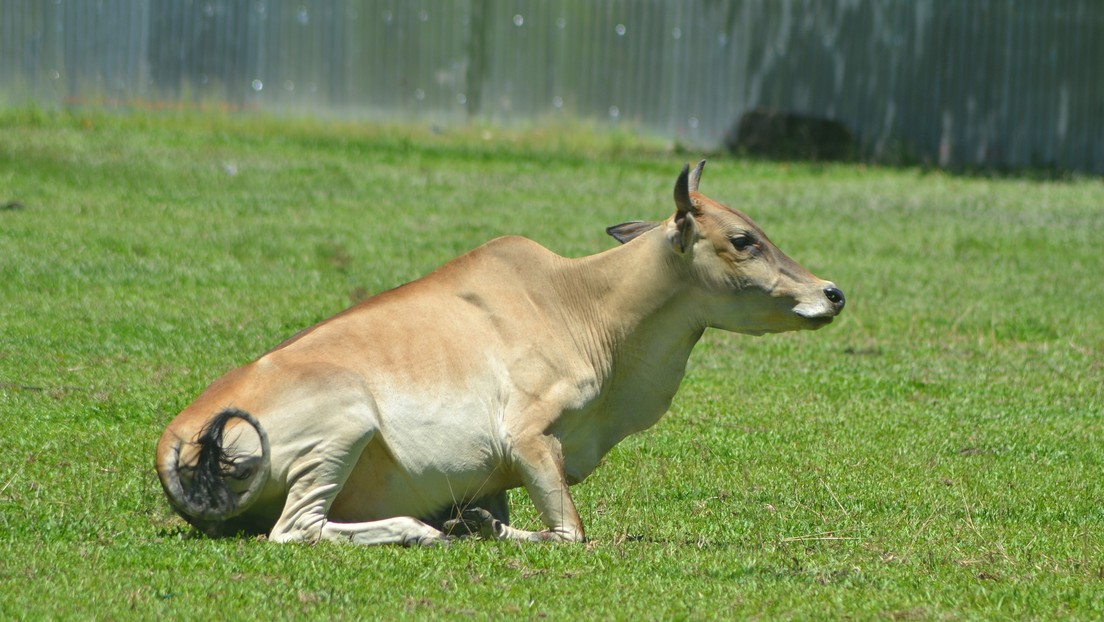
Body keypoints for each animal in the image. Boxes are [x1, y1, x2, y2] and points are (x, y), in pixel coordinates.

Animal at [155, 160, 843, 545]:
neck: (579, 303)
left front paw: (476, 522)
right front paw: (481, 527)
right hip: (343, 427)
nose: (831, 293)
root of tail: (177, 435)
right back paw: (421, 531)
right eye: (744, 238)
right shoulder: (529, 440)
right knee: (294, 531)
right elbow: (569, 534)